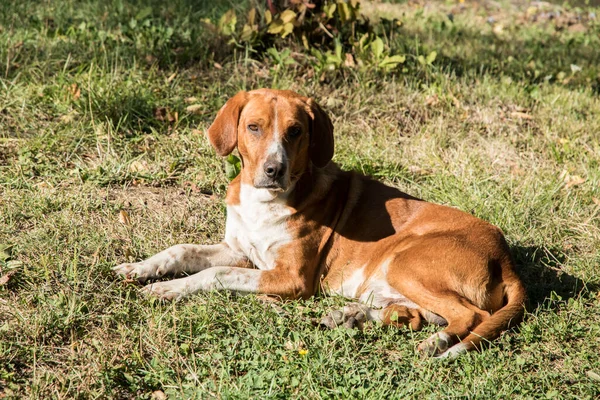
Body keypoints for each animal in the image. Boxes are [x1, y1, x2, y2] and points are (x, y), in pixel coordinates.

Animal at [113, 89, 524, 358]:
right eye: (253, 127)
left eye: (295, 131)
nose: (274, 169)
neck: (264, 201)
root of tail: (506, 258)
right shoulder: (238, 250)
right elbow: (180, 250)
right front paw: (140, 268)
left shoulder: (291, 277)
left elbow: (214, 275)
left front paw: (169, 289)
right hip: (390, 283)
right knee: (412, 315)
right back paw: (350, 315)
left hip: (406, 262)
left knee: (469, 315)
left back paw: (437, 344)